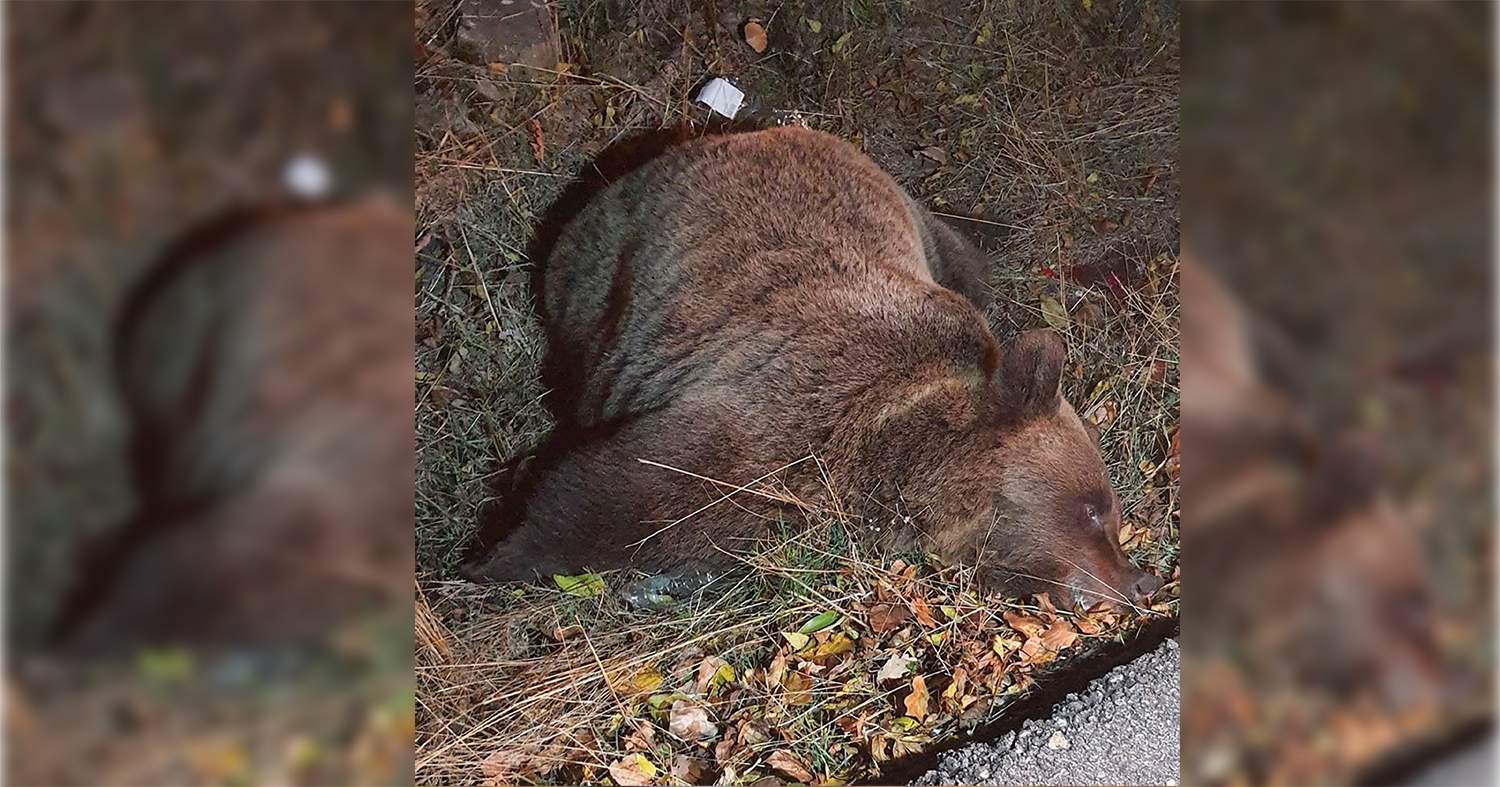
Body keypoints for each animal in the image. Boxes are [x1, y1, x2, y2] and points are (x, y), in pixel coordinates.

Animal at [463, 126, 1161, 610]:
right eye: (1093, 509)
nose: (1142, 581)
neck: (892, 450)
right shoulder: (781, 415)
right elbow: (618, 498)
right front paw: (488, 556)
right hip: (595, 268)